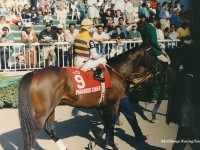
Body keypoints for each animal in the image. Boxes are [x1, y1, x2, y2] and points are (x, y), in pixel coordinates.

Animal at [18, 46, 148, 150]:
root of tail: (34, 73)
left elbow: (106, 123)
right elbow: (111, 123)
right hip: (43, 112)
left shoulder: (101, 105)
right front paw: (112, 145)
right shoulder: (114, 103)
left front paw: (93, 143)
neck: (116, 72)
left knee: (49, 129)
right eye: (152, 54)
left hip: (51, 108)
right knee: (32, 132)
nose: (154, 72)